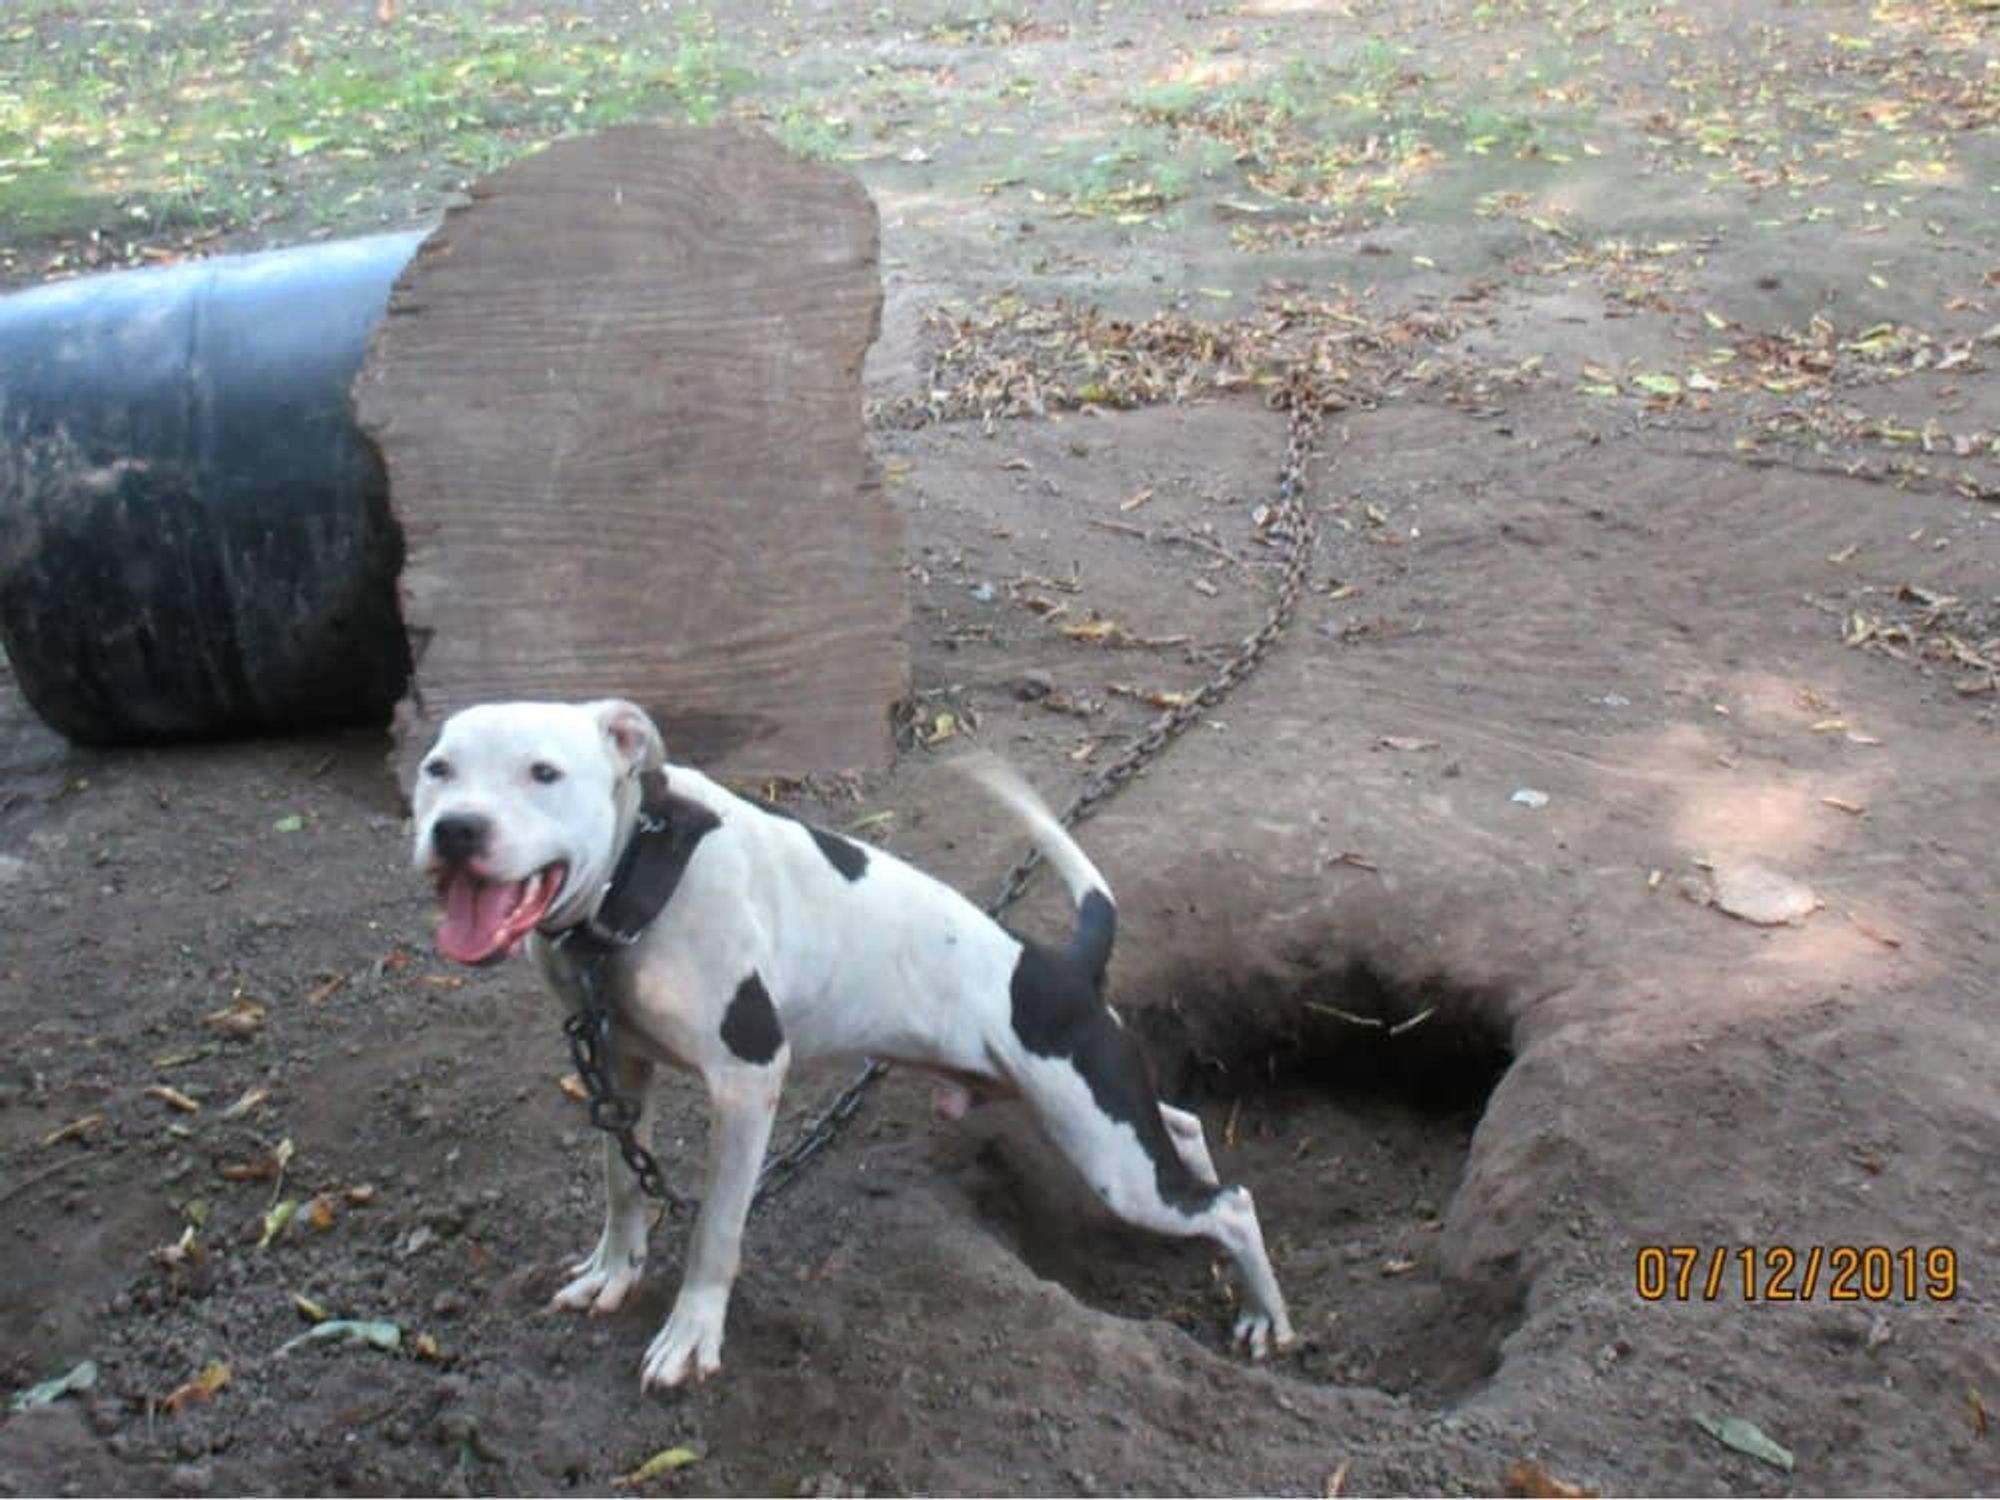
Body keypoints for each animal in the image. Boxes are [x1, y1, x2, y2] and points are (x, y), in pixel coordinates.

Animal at [414, 700, 1304, 1392]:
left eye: (544, 773)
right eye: (437, 769)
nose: (455, 830)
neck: (642, 867)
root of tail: (1063, 965)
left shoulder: (747, 1081)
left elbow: (715, 1230)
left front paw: (691, 1335)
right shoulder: (618, 1066)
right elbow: (623, 1185)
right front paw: (613, 1272)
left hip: (1111, 1154)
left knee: (1233, 1204)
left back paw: (1267, 1315)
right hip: (1100, 1120)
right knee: (1182, 1126)